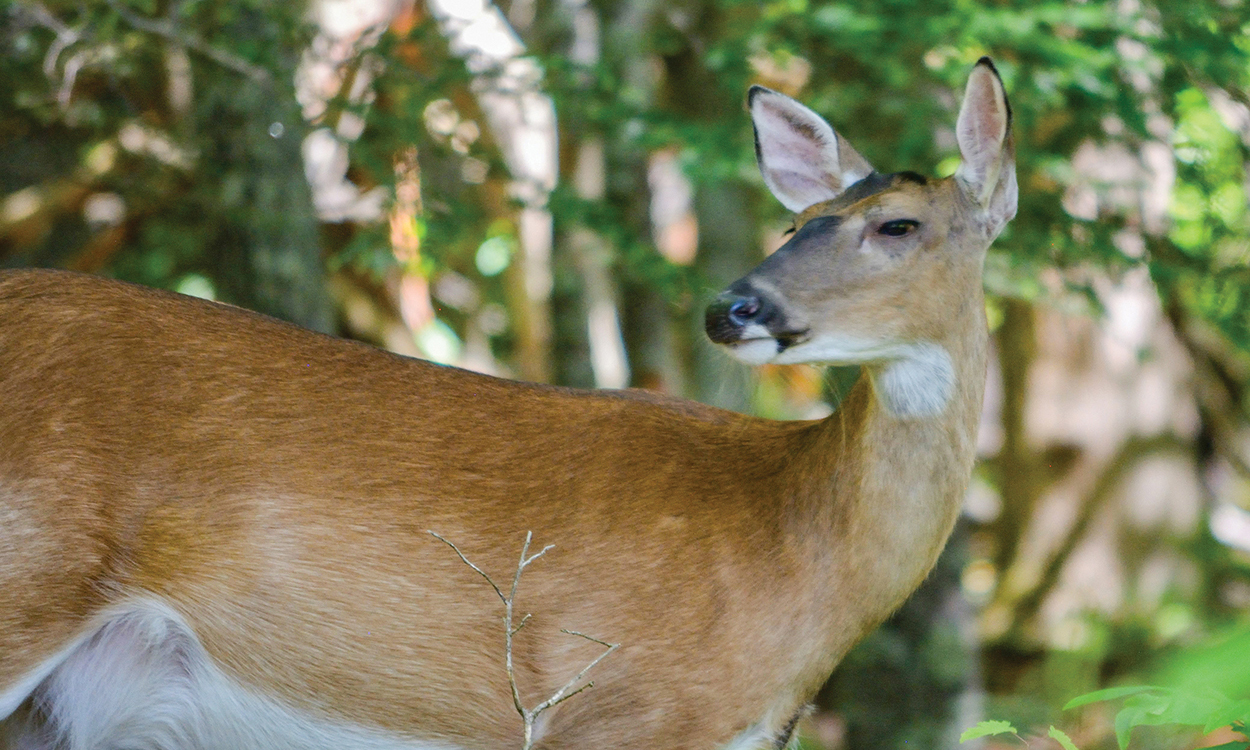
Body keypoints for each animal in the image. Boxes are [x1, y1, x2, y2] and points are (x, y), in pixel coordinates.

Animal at [0, 60, 1015, 750]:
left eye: (897, 224)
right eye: (795, 223)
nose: (733, 308)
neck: (794, 555)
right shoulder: (615, 709)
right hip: (25, 581)